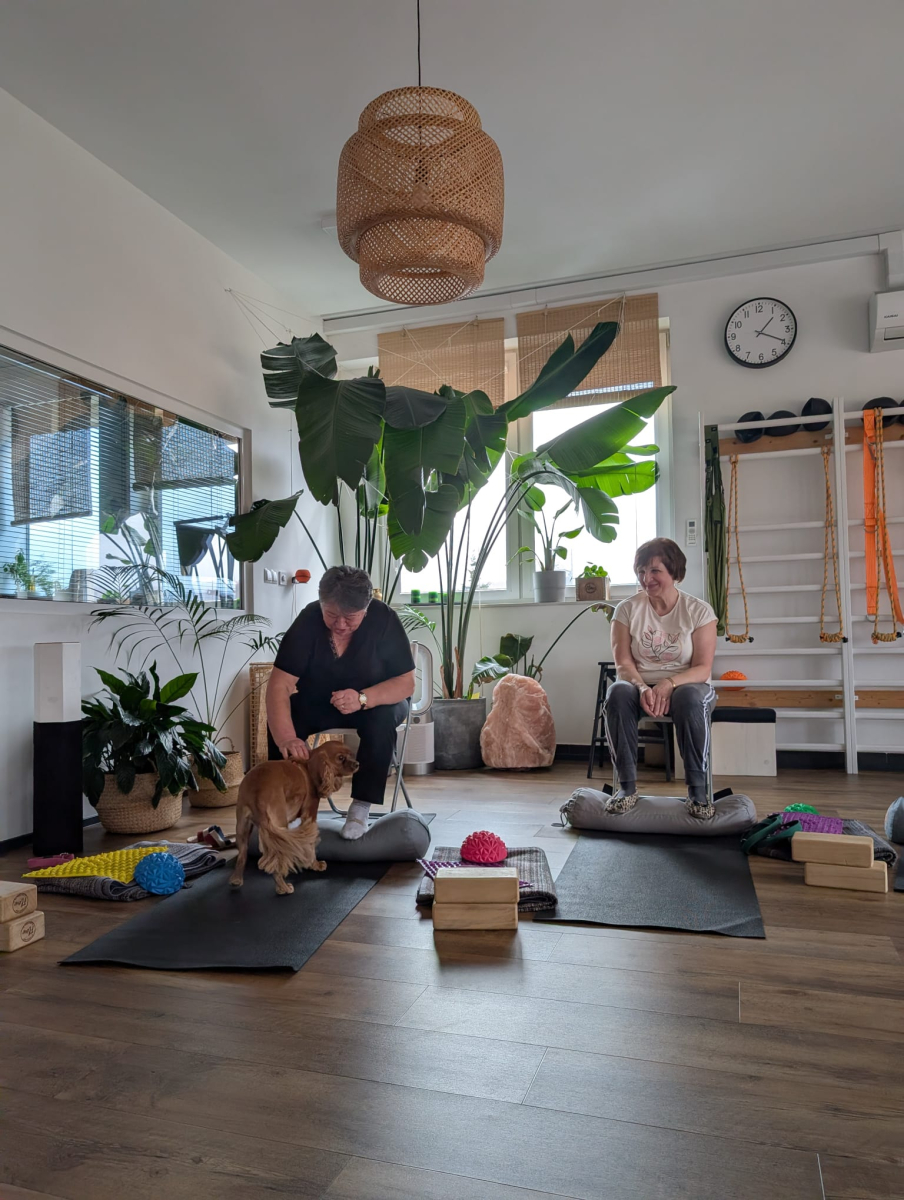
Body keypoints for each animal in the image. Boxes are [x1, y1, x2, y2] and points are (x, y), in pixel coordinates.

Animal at [230, 741, 359, 895]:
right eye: (340, 758)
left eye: (351, 754)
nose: (357, 764)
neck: (309, 766)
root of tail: (257, 791)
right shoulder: (309, 816)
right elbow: (310, 845)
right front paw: (315, 865)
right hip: (278, 825)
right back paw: (283, 888)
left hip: (243, 827)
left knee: (242, 855)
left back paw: (236, 880)